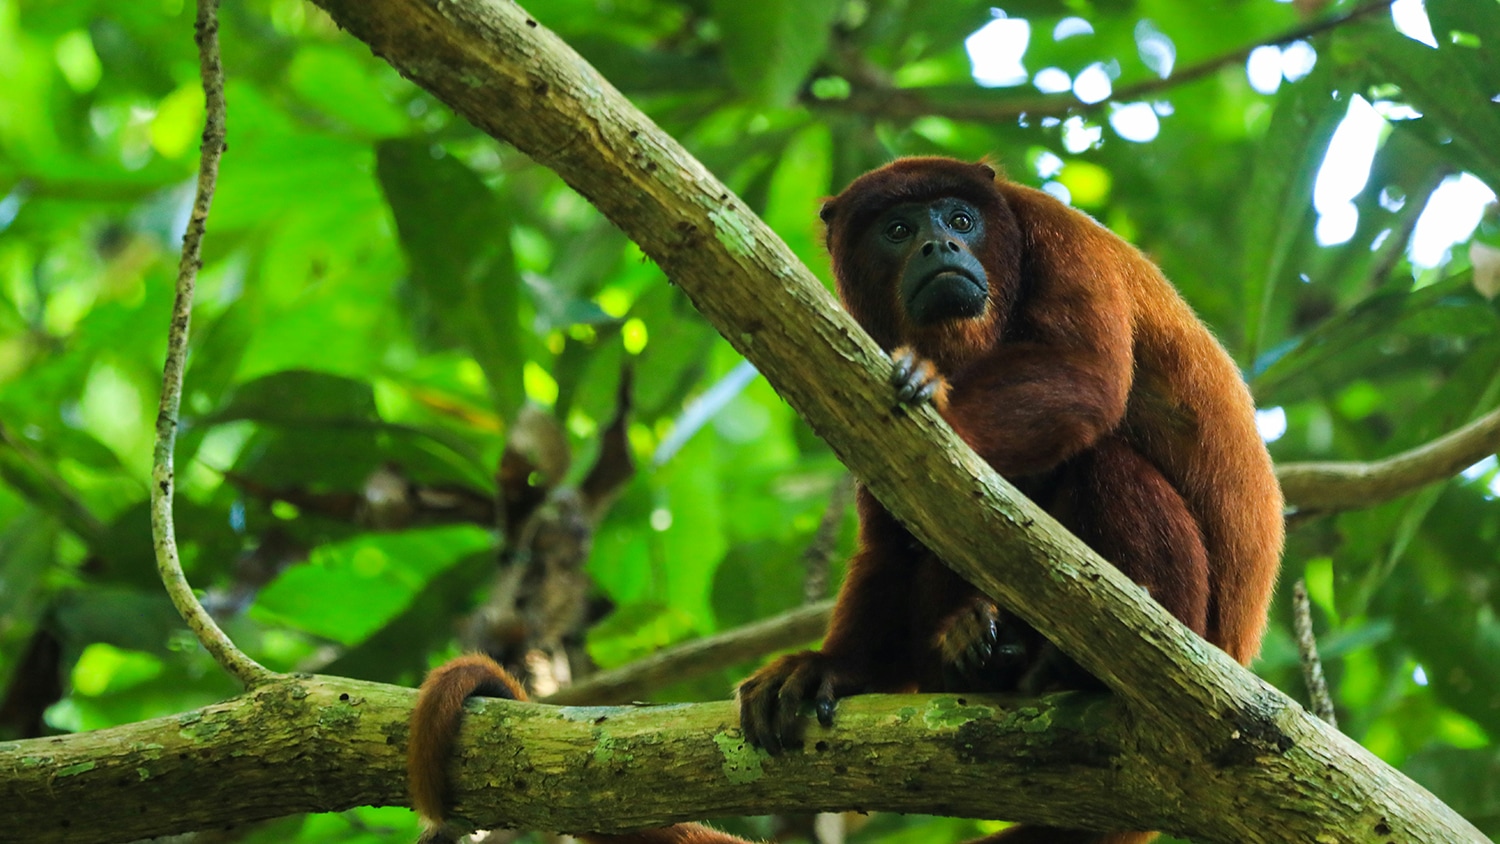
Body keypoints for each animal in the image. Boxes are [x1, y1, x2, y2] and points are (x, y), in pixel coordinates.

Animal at [736, 157, 1285, 844]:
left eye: (961, 219)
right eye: (897, 229)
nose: (940, 245)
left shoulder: (1060, 239)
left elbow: (1084, 374)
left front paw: (938, 397)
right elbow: (889, 543)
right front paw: (829, 668)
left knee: (1103, 461)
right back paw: (975, 650)